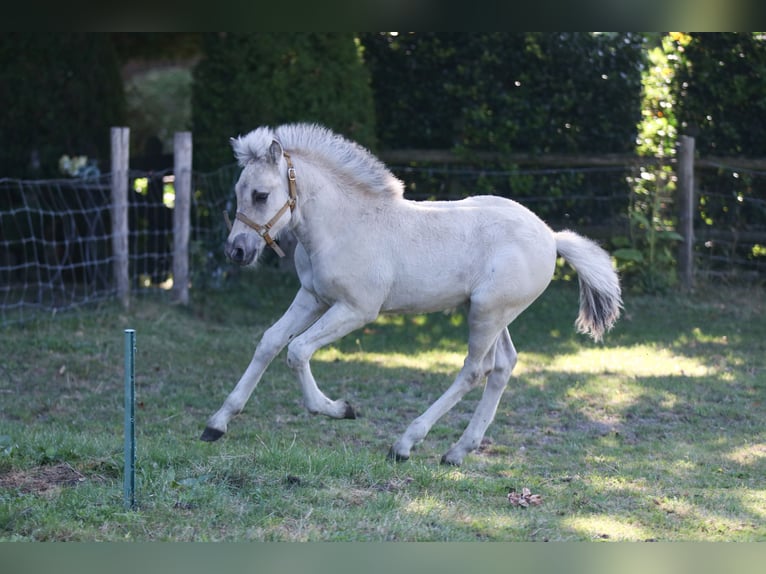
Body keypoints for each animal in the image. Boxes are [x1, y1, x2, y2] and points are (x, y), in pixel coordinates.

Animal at [201, 122, 620, 468]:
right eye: (238, 192)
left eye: (260, 195)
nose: (236, 251)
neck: (344, 224)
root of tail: (551, 236)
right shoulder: (312, 296)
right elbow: (270, 342)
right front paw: (217, 424)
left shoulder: (357, 309)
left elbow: (297, 350)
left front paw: (340, 409)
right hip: (494, 312)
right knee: (503, 366)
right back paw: (457, 451)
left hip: (487, 313)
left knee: (474, 370)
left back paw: (404, 444)